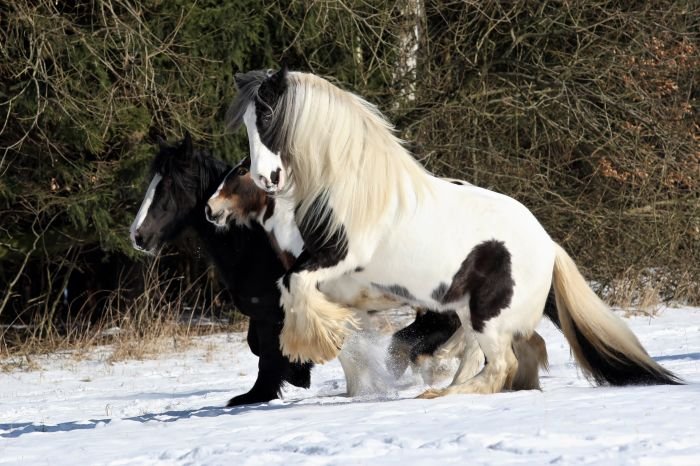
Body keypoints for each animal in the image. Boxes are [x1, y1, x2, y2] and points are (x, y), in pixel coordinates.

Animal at [128, 134, 312, 406]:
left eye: (169, 183)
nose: (137, 235)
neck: (253, 242)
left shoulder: (270, 311)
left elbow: (268, 356)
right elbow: (257, 346)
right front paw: (298, 373)